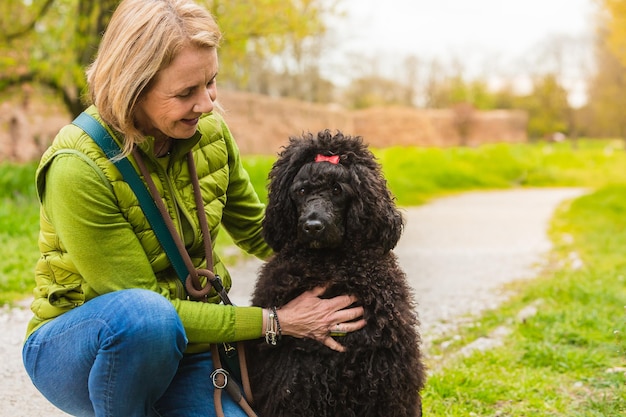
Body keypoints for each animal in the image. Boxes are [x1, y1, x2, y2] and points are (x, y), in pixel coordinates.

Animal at [246, 131, 426, 416]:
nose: (313, 226)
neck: (330, 264)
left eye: (337, 190)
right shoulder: (294, 378)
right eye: (301, 191)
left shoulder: (386, 380)